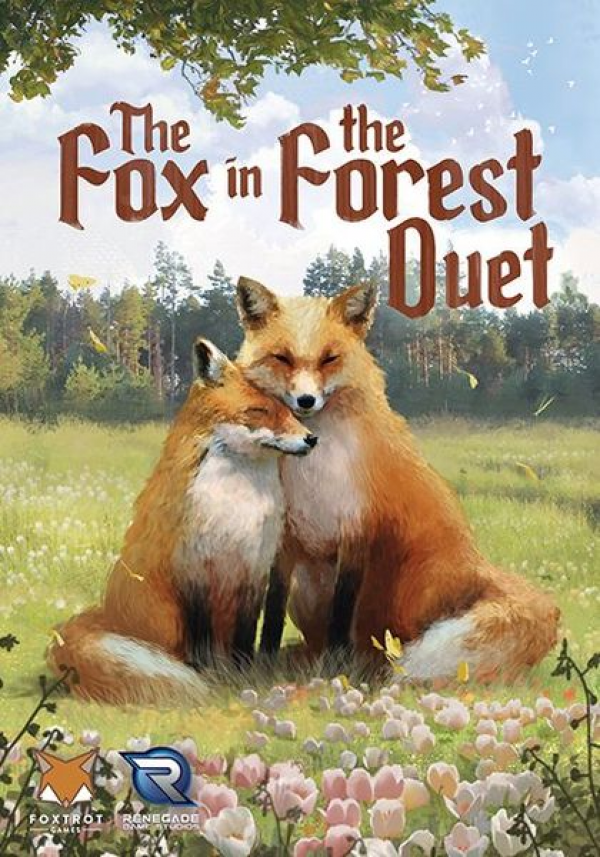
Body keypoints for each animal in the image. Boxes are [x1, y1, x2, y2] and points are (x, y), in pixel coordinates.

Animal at [47, 338, 317, 706]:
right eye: (259, 411)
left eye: (291, 410)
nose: (312, 438)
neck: (235, 507)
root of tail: (104, 615)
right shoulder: (193, 569)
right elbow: (199, 637)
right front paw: (207, 674)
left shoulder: (253, 570)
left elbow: (246, 635)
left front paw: (244, 673)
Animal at [235, 277, 560, 681]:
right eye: (282, 358)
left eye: (329, 358)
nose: (306, 401)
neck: (312, 471)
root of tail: (479, 565)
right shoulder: (285, 540)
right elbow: (272, 612)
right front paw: (261, 664)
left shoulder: (356, 531)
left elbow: (342, 613)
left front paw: (335, 668)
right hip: (308, 588)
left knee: (388, 642)